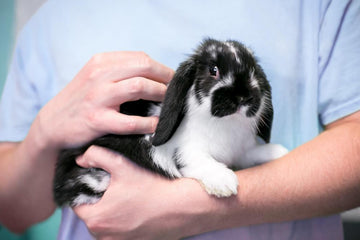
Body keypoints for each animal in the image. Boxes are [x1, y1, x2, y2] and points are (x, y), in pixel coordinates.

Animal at [53, 39, 288, 206]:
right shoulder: (186, 152)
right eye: (213, 70)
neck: (226, 124)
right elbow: (200, 161)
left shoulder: (241, 152)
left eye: (253, 71)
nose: (243, 97)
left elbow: (252, 154)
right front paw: (224, 182)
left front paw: (278, 152)